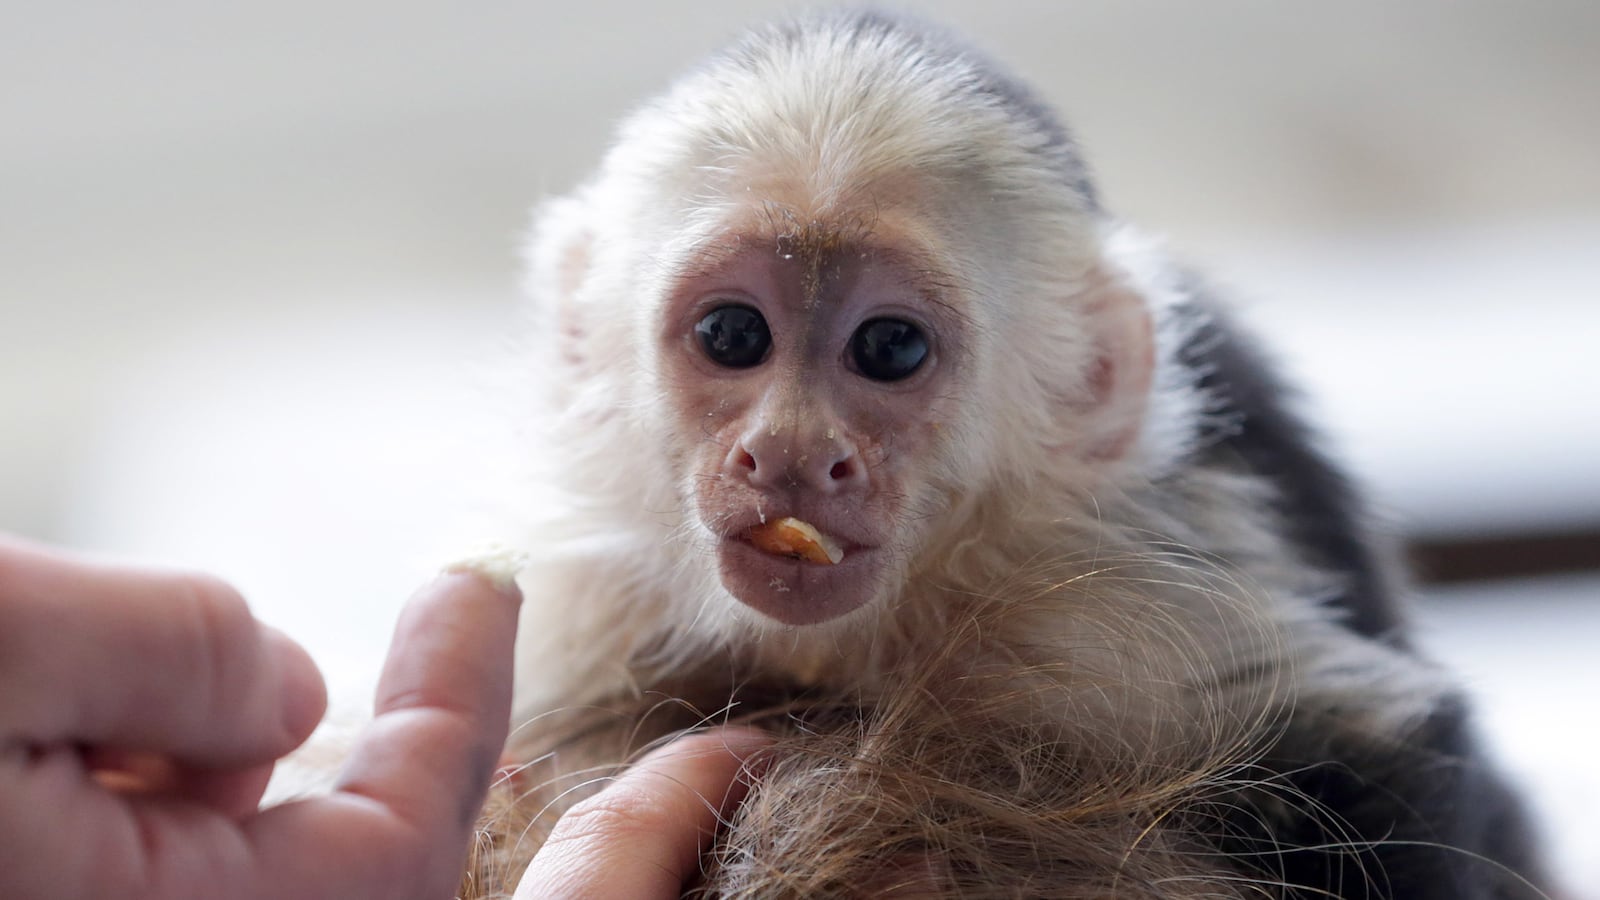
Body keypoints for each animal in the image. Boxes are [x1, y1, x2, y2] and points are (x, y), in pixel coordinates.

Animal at [460, 11, 1549, 899]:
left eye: (889, 349)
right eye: (733, 335)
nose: (792, 453)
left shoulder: (1107, 597)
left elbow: (1394, 772)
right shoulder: (599, 602)